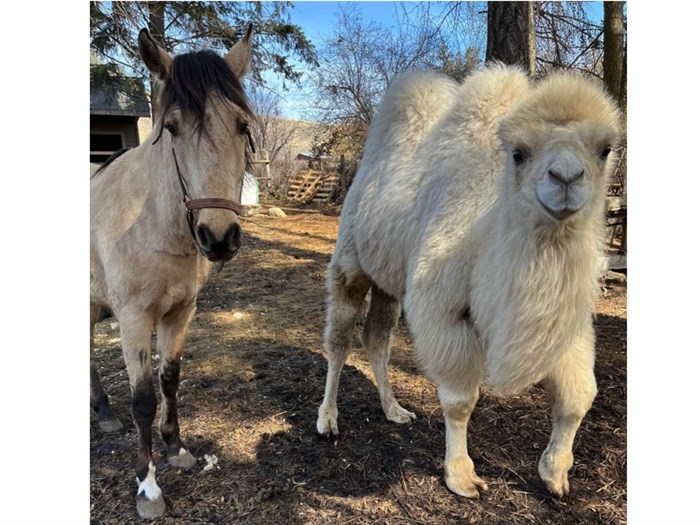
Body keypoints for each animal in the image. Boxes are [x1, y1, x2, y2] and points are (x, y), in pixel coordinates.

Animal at [91, 24, 256, 516]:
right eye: (172, 128)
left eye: (242, 126)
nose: (218, 237)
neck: (153, 223)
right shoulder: (132, 319)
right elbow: (143, 399)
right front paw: (147, 485)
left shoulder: (182, 311)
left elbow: (170, 379)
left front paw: (176, 448)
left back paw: (103, 413)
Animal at [316, 63, 616, 498]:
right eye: (519, 153)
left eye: (605, 149)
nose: (566, 177)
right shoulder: (442, 309)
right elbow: (460, 400)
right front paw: (461, 475)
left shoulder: (565, 320)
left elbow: (580, 394)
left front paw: (555, 475)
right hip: (350, 265)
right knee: (338, 340)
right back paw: (327, 420)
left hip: (390, 281)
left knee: (377, 339)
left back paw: (395, 410)